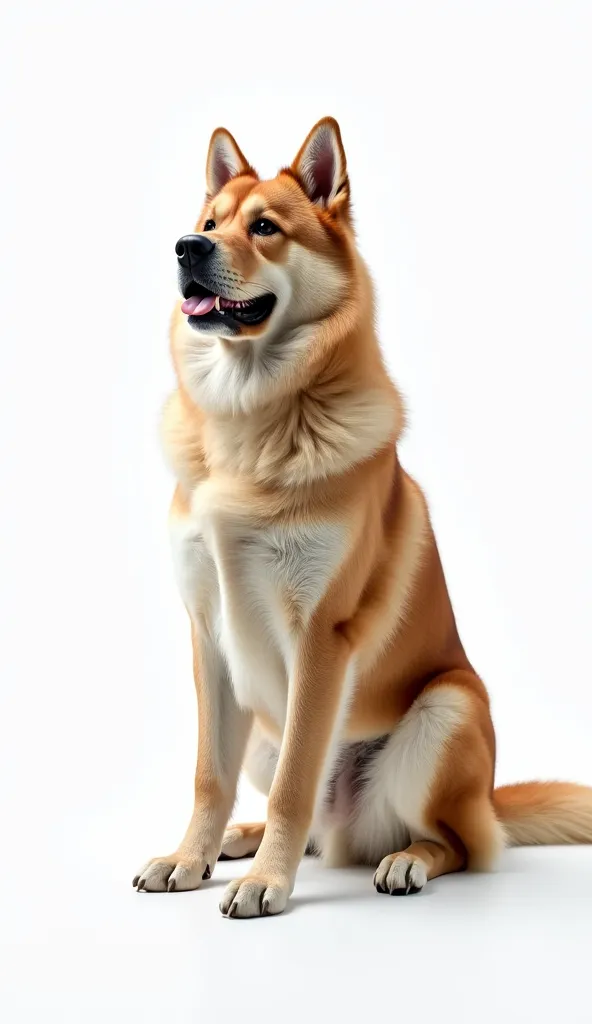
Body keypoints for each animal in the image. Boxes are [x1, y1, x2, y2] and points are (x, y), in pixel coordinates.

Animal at [132, 116, 589, 917]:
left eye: (265, 227)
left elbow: (295, 782)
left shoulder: (322, 635)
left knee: (455, 843)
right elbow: (209, 775)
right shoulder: (207, 636)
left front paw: (267, 885)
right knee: (307, 818)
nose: (186, 249)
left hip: (447, 711)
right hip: (262, 726)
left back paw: (404, 861)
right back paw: (241, 838)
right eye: (210, 224)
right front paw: (191, 858)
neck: (249, 423)